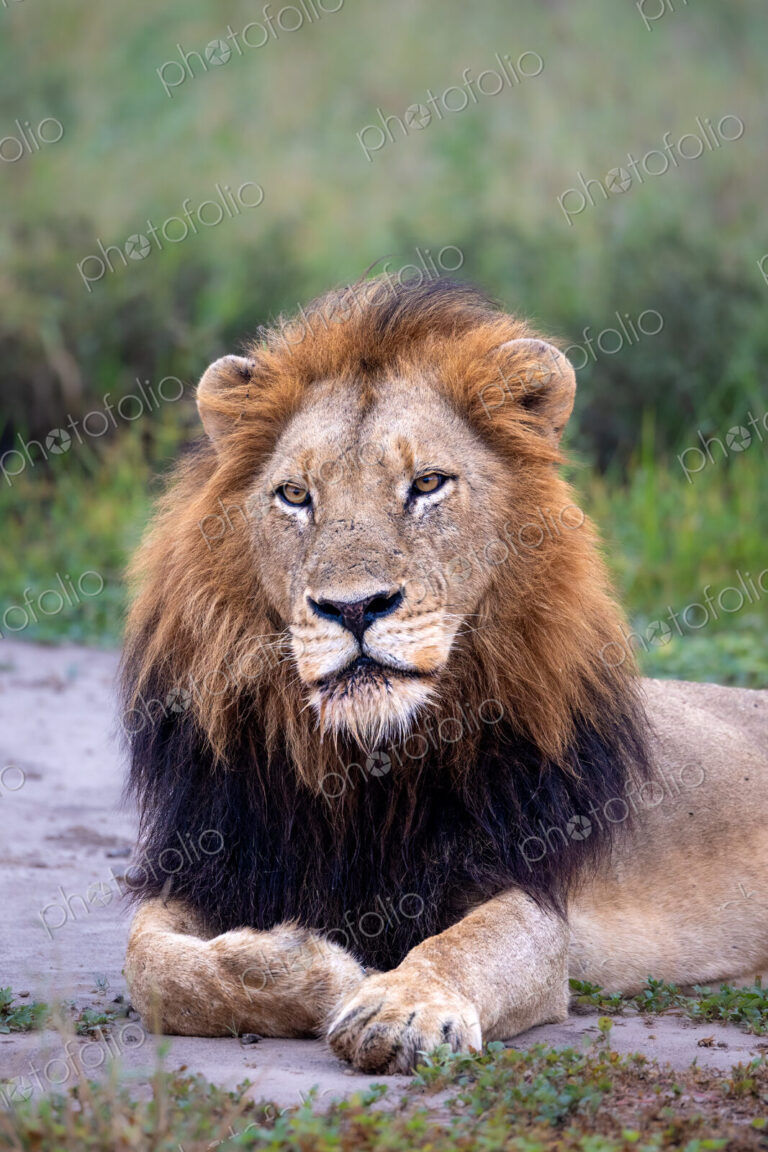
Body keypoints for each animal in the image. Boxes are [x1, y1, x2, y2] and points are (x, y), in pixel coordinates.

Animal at [122, 277, 768, 1075]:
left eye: (427, 484)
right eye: (296, 496)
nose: (353, 606)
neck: (363, 774)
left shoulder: (530, 894)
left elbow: (467, 944)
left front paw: (398, 1005)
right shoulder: (216, 862)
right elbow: (153, 966)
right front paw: (315, 967)